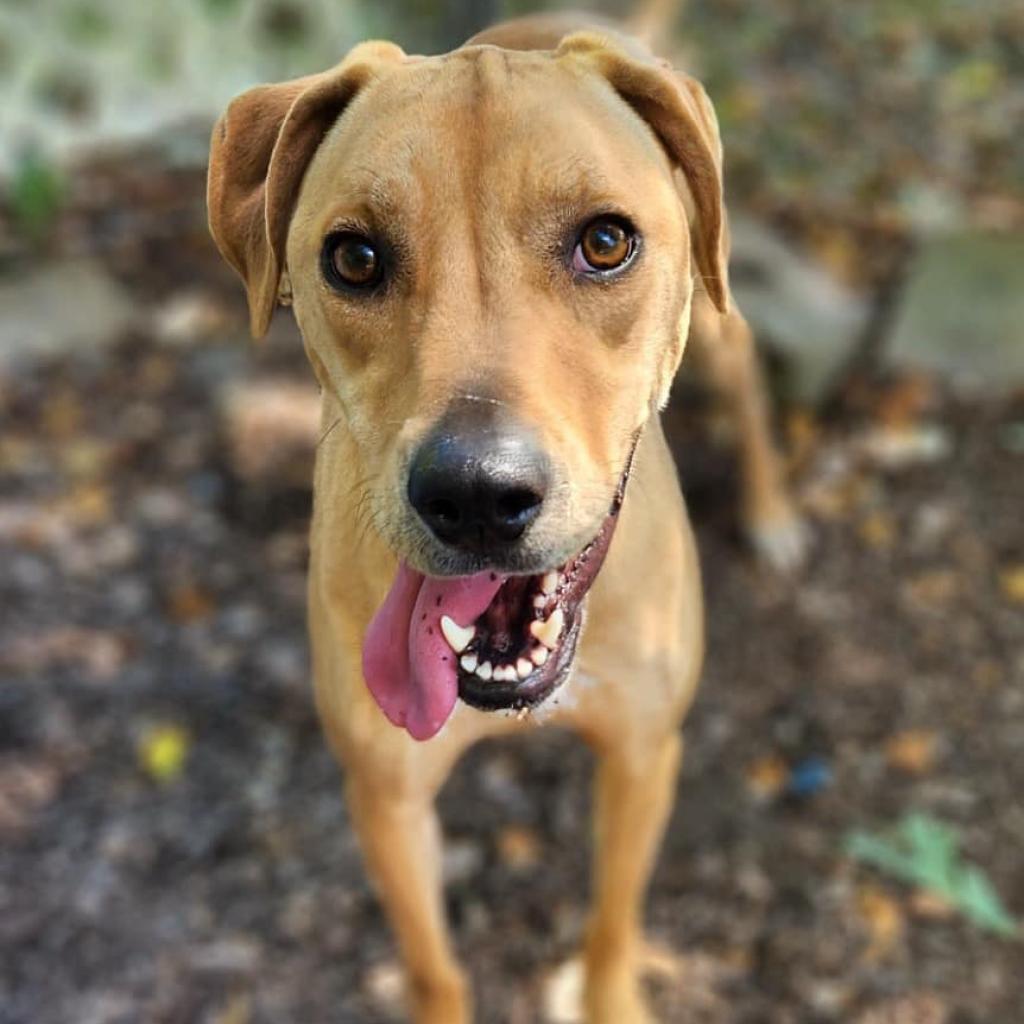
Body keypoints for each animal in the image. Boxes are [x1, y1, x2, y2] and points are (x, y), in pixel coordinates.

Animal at [205, 4, 798, 1019]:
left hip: (720, 322)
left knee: (747, 379)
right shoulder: (388, 800)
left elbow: (612, 926)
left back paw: (771, 512)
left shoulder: (645, 755)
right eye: (354, 257)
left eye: (605, 242)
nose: (477, 493)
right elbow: (434, 966)